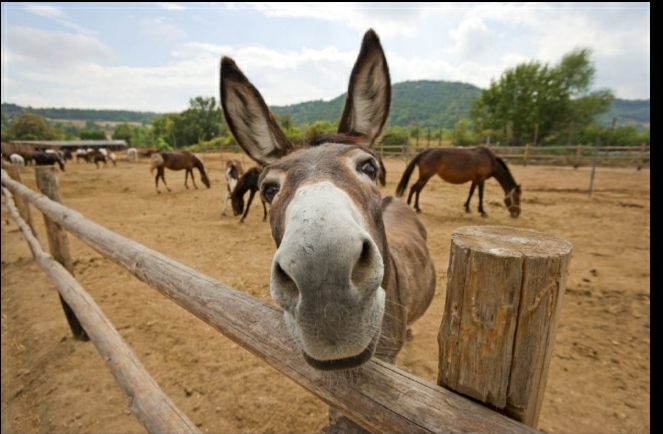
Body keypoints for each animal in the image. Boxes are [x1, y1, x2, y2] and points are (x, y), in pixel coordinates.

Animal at [394, 147, 524, 219]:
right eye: (517, 198)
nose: (517, 214)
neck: (490, 160)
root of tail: (424, 153)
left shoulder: (475, 179)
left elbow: (471, 192)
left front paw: (467, 208)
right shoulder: (481, 179)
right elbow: (480, 195)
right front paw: (482, 211)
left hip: (425, 177)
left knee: (418, 190)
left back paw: (418, 208)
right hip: (425, 176)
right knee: (413, 188)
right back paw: (410, 206)